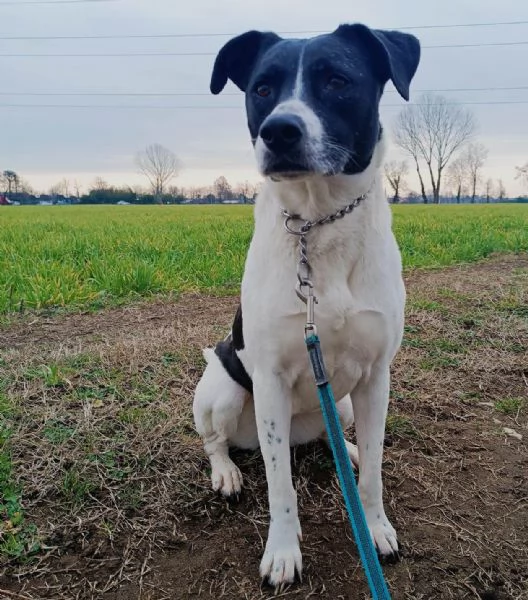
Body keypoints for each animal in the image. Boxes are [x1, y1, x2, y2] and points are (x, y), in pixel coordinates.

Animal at [194, 22, 420, 584]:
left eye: (337, 80)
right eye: (262, 89)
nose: (279, 131)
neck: (319, 223)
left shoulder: (377, 376)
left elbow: (376, 470)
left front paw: (375, 527)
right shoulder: (271, 379)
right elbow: (281, 487)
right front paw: (282, 551)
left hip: (341, 405)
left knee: (333, 439)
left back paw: (350, 451)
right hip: (224, 392)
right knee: (216, 441)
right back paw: (227, 472)